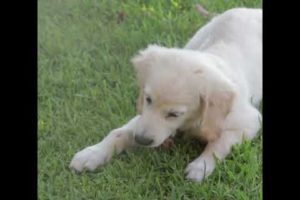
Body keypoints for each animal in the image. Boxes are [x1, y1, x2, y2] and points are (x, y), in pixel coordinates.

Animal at [69, 7, 260, 183]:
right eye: (148, 99)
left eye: (174, 114)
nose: (141, 140)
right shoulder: (143, 117)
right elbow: (118, 132)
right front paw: (92, 153)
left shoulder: (249, 121)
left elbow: (220, 142)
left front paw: (201, 166)